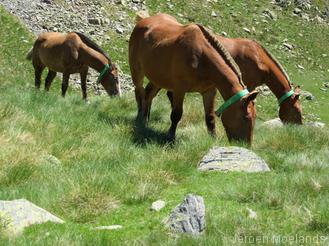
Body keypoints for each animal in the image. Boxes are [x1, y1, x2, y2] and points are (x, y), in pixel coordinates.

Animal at [127, 13, 258, 143]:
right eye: (245, 117)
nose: (246, 145)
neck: (202, 59)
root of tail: (144, 20)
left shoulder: (209, 91)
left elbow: (210, 117)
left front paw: (213, 139)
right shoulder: (179, 89)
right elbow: (176, 114)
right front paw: (170, 136)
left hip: (158, 78)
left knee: (148, 94)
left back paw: (145, 120)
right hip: (137, 71)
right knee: (139, 92)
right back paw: (139, 118)